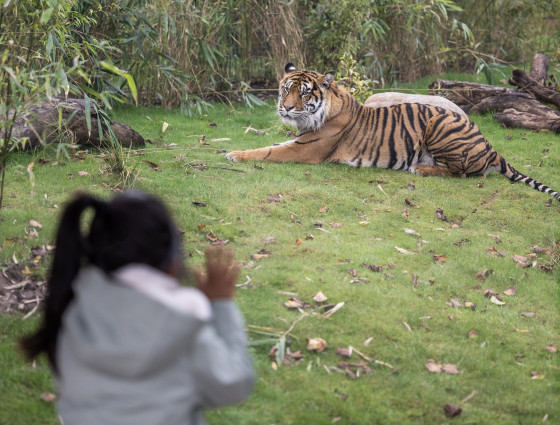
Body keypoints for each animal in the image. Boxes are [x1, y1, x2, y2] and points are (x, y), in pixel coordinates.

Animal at [226, 63, 560, 202]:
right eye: (286, 89)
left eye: (305, 93)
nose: (285, 108)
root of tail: (491, 146)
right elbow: (272, 143)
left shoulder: (306, 148)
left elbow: (268, 151)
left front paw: (232, 154)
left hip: (439, 125)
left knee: (461, 173)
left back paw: (420, 169)